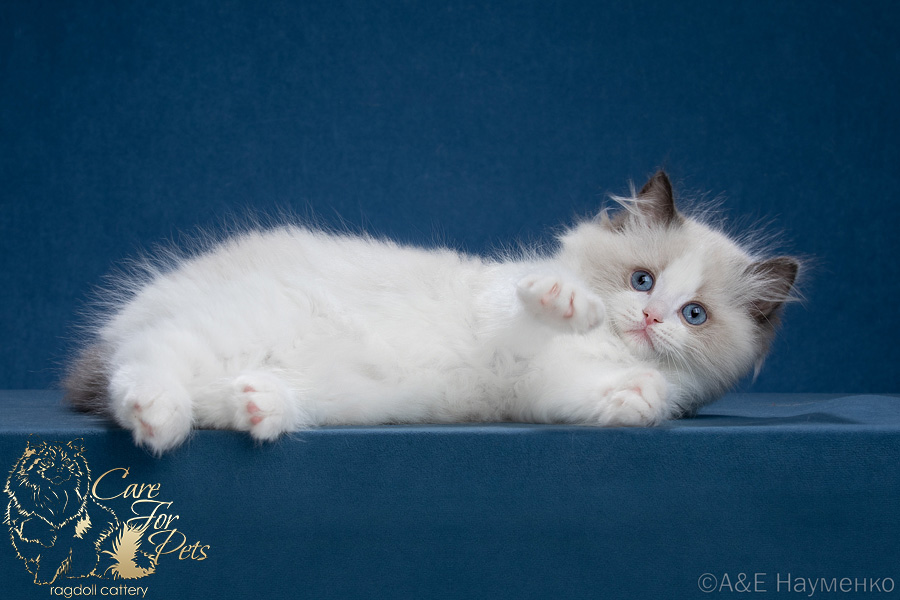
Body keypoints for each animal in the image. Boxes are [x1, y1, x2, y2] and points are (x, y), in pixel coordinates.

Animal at [68, 171, 800, 452]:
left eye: (694, 316)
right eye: (641, 280)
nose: (649, 321)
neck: (605, 351)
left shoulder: (543, 395)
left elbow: (625, 401)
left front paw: (638, 394)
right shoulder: (502, 319)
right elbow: (536, 306)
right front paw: (571, 302)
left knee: (209, 391)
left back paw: (261, 405)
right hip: (222, 327)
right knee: (143, 363)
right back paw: (158, 417)